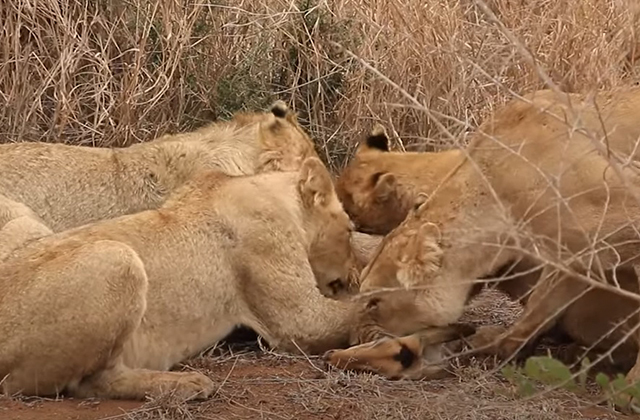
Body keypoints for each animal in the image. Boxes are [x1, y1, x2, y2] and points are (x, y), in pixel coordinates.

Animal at [0, 154, 472, 400]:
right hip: (118, 258)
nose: (352, 274)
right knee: (85, 381)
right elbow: (353, 313)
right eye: (346, 227)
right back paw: (185, 384)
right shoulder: (301, 320)